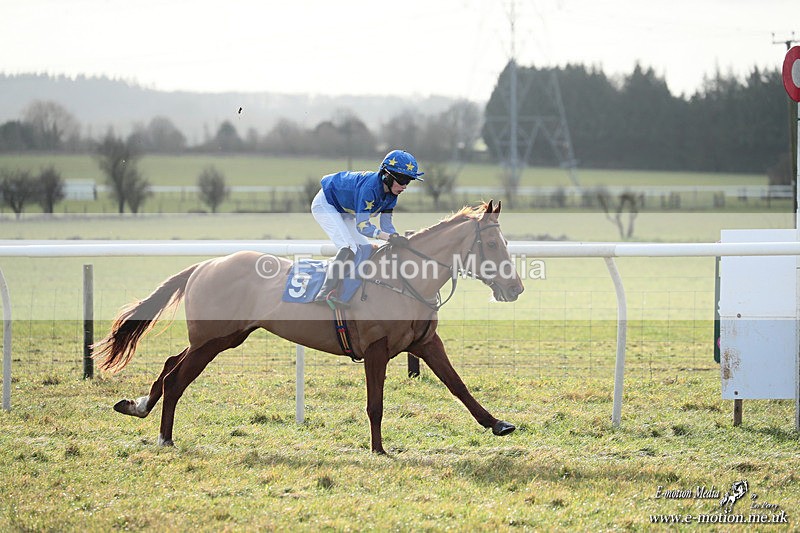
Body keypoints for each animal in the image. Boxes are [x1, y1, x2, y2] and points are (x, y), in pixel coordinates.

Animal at [93, 200, 525, 454]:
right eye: (491, 245)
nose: (516, 288)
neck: (403, 279)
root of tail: (203, 265)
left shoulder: (425, 342)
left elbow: (459, 386)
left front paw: (497, 424)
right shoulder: (377, 350)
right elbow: (376, 404)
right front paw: (378, 449)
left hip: (223, 337)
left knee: (170, 364)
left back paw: (138, 407)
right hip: (212, 341)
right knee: (176, 378)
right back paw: (165, 437)